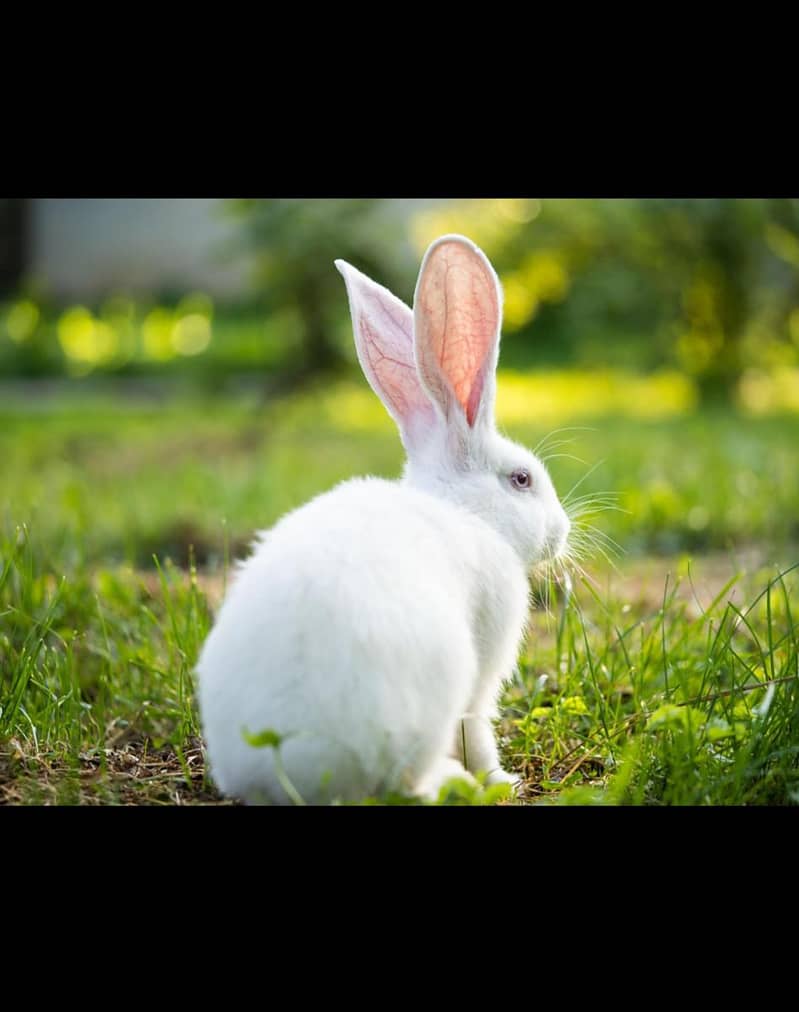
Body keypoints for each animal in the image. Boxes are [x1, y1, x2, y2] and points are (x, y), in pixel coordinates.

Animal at [197, 234, 571, 805]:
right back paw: (454, 781)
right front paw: (502, 781)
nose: (562, 531)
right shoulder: (483, 667)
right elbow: (478, 728)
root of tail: (295, 770)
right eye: (522, 479)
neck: (466, 512)